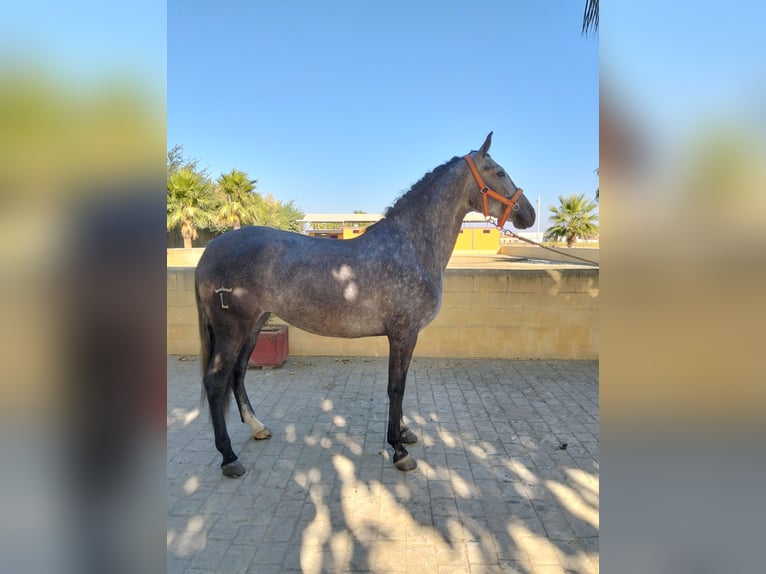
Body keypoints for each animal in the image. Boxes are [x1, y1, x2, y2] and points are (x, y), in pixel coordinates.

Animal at [195, 132, 535, 477]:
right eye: (499, 172)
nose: (529, 214)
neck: (410, 246)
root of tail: (210, 250)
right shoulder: (403, 333)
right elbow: (395, 387)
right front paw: (399, 450)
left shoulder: (406, 336)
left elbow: (401, 384)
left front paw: (405, 433)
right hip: (232, 331)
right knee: (216, 381)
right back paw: (229, 457)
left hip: (255, 325)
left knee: (238, 373)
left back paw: (257, 426)